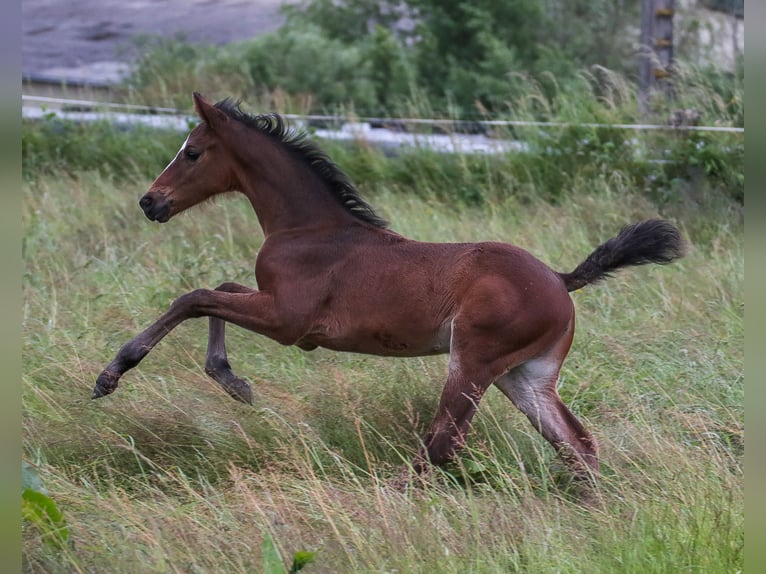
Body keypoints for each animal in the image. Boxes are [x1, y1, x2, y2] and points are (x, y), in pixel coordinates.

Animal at [93, 92, 688, 488]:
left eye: (192, 151)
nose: (150, 201)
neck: (311, 228)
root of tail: (561, 281)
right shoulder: (273, 305)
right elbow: (216, 288)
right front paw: (232, 380)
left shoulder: (288, 321)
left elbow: (193, 296)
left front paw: (114, 372)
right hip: (525, 376)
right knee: (577, 444)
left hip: (473, 363)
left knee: (445, 443)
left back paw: (391, 494)